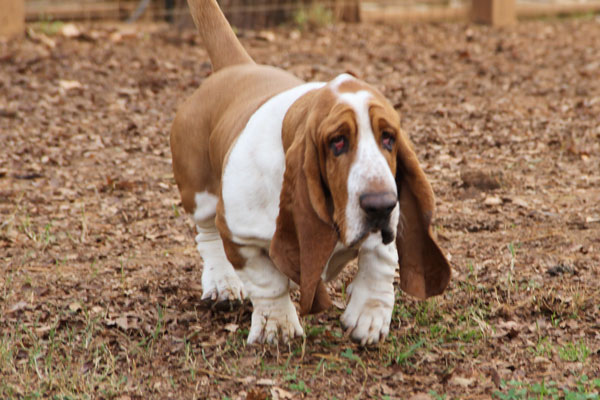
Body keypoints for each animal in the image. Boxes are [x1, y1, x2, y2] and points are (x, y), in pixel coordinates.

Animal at [169, 0, 450, 344]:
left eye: (388, 138)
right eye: (337, 141)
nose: (381, 205)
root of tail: (233, 68)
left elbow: (381, 260)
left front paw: (368, 316)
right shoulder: (238, 234)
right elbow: (267, 281)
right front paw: (277, 326)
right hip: (200, 196)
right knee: (206, 234)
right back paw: (222, 283)